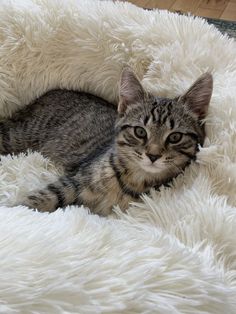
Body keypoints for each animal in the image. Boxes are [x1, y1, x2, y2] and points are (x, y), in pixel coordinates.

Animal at [0, 68, 213, 216]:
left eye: (175, 137)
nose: (153, 155)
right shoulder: (74, 180)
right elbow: (44, 197)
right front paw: (17, 211)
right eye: (140, 132)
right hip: (16, 136)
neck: (135, 180)